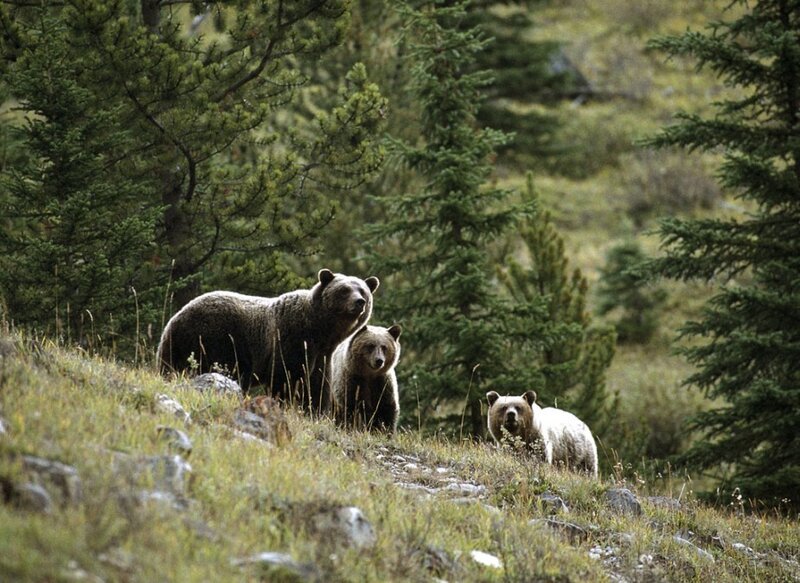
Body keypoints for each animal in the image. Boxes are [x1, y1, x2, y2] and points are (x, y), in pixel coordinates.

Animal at [156, 269, 379, 413]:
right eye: (344, 290)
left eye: (363, 290)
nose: (359, 302)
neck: (320, 332)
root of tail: (173, 321)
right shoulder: (291, 338)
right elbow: (286, 377)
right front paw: (286, 404)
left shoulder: (322, 355)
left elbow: (317, 385)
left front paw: (314, 410)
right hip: (214, 337)